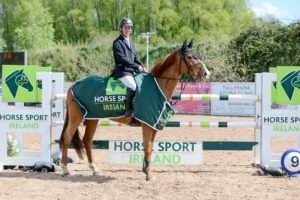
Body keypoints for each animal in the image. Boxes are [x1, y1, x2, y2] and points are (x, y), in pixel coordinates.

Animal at [58, 39, 209, 180]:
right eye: (189, 57)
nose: (206, 73)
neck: (158, 85)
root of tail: (74, 85)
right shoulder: (147, 123)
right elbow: (147, 147)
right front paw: (148, 174)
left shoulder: (154, 123)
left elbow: (150, 147)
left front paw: (146, 170)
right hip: (77, 117)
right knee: (66, 138)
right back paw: (65, 169)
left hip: (92, 118)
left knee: (87, 140)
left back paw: (94, 169)